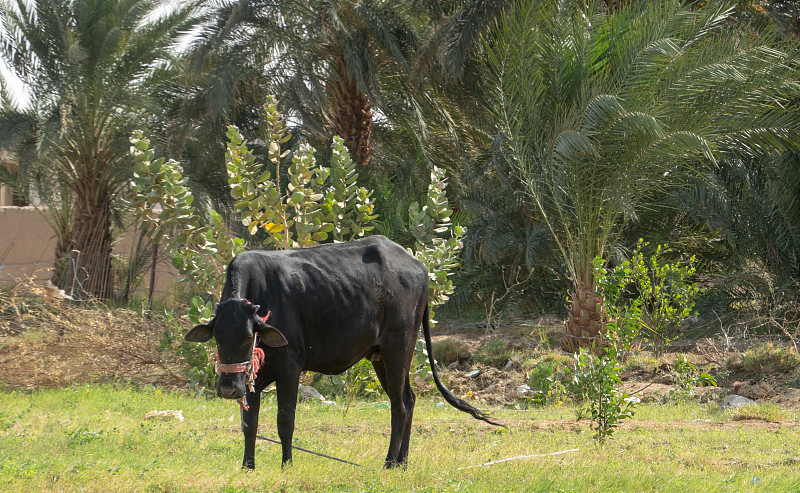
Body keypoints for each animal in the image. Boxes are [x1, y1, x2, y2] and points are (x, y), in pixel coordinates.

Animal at [187, 235, 500, 468]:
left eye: (249, 337)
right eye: (217, 338)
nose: (228, 388)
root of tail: (418, 266)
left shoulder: (290, 367)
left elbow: (285, 420)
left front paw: (287, 465)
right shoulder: (253, 378)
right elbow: (249, 423)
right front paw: (247, 466)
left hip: (399, 347)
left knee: (399, 406)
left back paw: (389, 463)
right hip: (380, 356)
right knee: (408, 400)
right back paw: (402, 462)